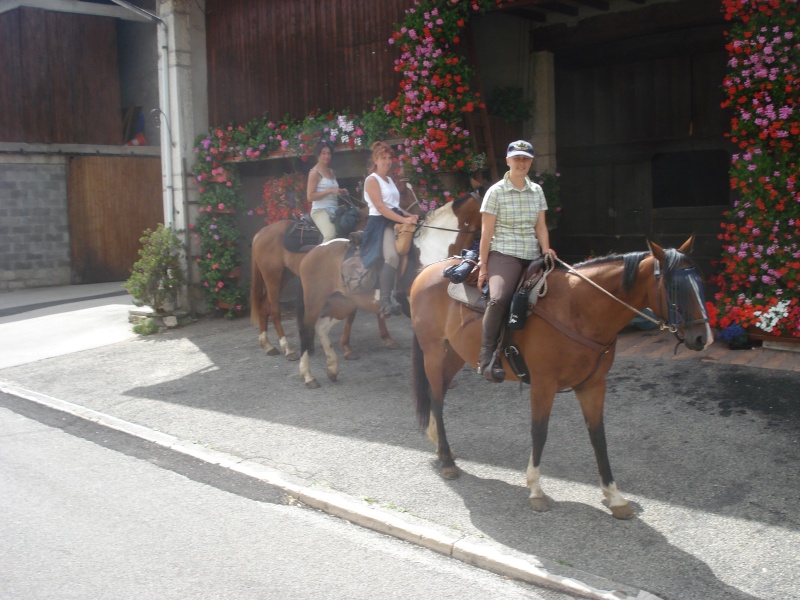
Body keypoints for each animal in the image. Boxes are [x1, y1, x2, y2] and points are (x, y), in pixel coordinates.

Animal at [294, 192, 482, 390]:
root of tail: (314, 251)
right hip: (314, 301)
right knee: (306, 331)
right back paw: (308, 376)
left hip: (343, 303)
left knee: (321, 327)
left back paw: (332, 369)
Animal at [410, 237, 708, 516]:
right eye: (675, 288)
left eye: (699, 282)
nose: (702, 337)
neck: (578, 309)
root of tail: (426, 271)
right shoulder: (543, 384)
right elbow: (539, 432)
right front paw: (536, 490)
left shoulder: (593, 385)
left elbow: (598, 436)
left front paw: (614, 496)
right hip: (433, 350)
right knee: (436, 397)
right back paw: (447, 461)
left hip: (455, 353)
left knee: (439, 394)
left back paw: (442, 448)